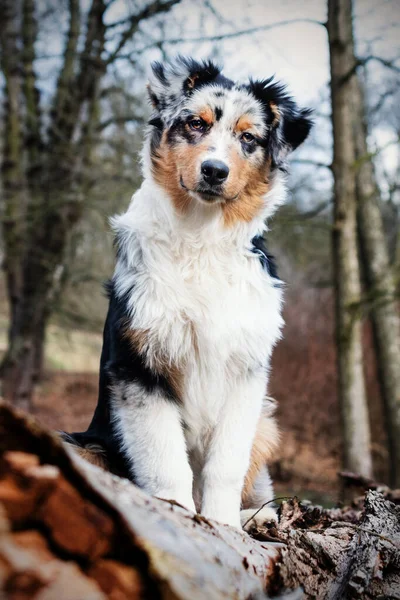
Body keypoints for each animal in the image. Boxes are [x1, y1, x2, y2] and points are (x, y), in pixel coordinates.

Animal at [62, 58, 312, 528]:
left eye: (248, 138)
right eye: (196, 123)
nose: (215, 170)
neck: (201, 237)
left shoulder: (246, 374)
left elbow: (225, 465)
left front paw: (223, 524)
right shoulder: (141, 368)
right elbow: (165, 460)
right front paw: (177, 511)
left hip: (266, 422)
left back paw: (258, 518)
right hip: (83, 442)